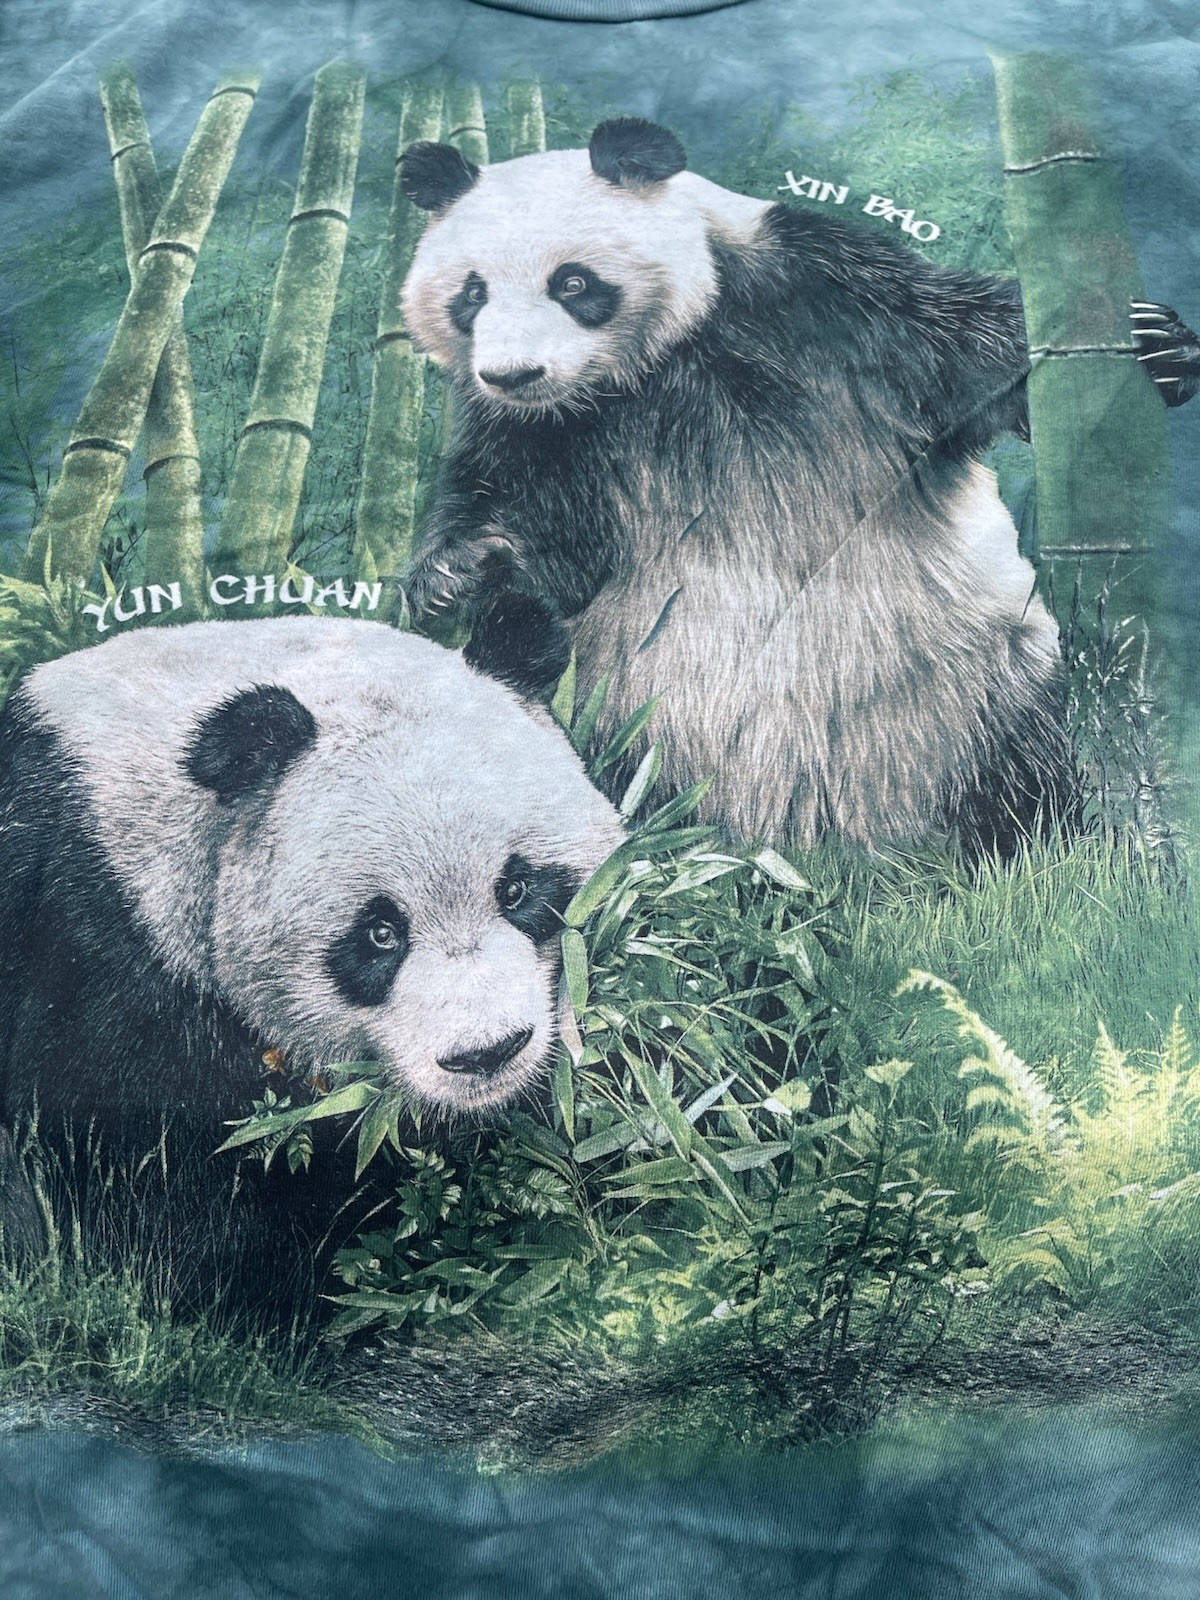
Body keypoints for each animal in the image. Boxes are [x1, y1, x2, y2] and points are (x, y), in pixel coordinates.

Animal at [398, 117, 1200, 857]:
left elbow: (976, 353)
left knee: (1024, 753)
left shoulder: (830, 299)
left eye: (571, 283)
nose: (513, 374)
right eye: (472, 293)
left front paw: (1160, 346)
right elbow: (532, 528)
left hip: (973, 681)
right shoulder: (549, 435)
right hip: (624, 713)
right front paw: (456, 576)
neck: (660, 361)